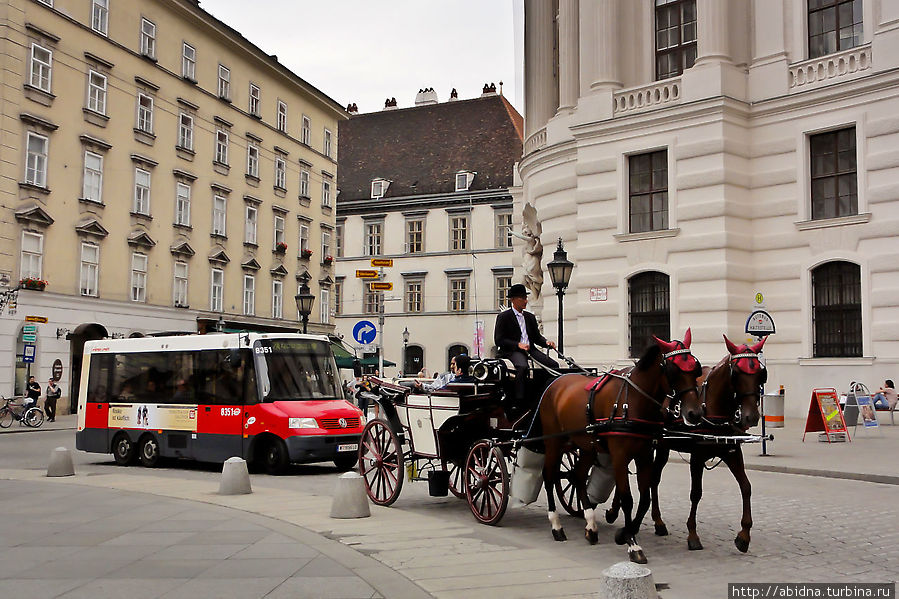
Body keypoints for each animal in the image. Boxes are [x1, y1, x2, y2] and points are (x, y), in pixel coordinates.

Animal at [536, 330, 704, 564]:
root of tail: (556, 382)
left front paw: (624, 533)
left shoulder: (644, 455)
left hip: (586, 445)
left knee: (578, 476)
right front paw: (632, 544)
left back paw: (590, 525)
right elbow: (627, 498)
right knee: (550, 475)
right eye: (674, 370)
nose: (694, 414)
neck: (633, 399)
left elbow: (645, 498)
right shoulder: (620, 456)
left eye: (695, 368)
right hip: (554, 442)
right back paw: (556, 525)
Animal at [648, 336, 768, 552]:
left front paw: (744, 535)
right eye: (736, 373)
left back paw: (658, 522)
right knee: (652, 477)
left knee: (654, 478)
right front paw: (692, 534)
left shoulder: (732, 452)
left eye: (760, 374)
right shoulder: (697, 456)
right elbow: (696, 493)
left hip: (663, 446)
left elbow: (746, 487)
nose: (751, 416)